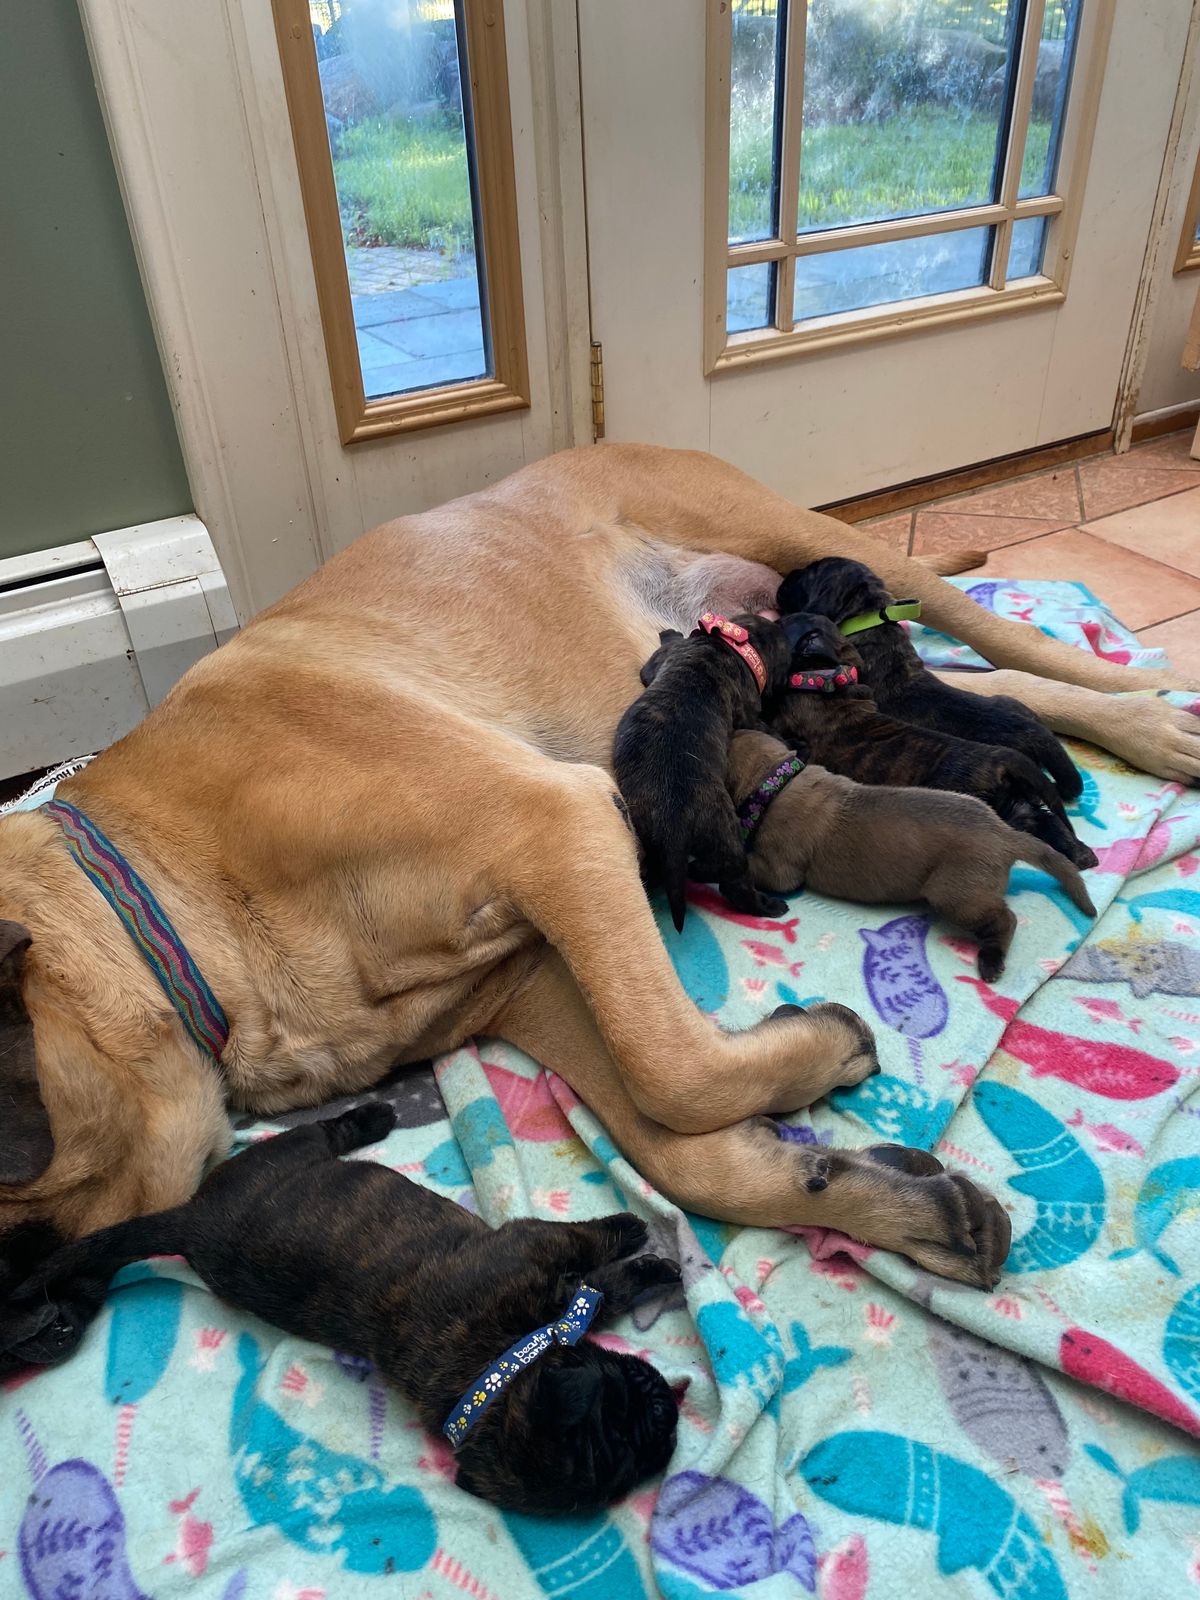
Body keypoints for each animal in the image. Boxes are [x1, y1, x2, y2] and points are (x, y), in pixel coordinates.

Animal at [0, 1103, 681, 1512]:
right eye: (622, 1421)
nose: (670, 1424)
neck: (499, 1365)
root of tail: (189, 1218)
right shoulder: (536, 1245)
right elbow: (592, 1256)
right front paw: (641, 1243)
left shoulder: (549, 1274)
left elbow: (596, 1280)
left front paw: (638, 1250)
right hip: (285, 1154)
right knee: (323, 1132)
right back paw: (374, 1115)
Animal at [614, 612, 795, 928]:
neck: (725, 644)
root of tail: (672, 822)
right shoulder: (749, 710)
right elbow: (764, 726)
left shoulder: (658, 662)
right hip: (723, 831)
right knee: (732, 879)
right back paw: (768, 906)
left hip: (647, 834)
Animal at [726, 730, 1096, 980]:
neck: (777, 781)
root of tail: (1005, 835)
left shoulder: (780, 870)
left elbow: (753, 864)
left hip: (956, 894)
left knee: (1006, 919)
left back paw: (991, 960)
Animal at [767, 613, 1095, 866]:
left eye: (784, 622)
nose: (771, 618)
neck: (829, 673)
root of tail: (1001, 758)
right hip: (1010, 803)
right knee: (1042, 819)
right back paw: (1081, 854)